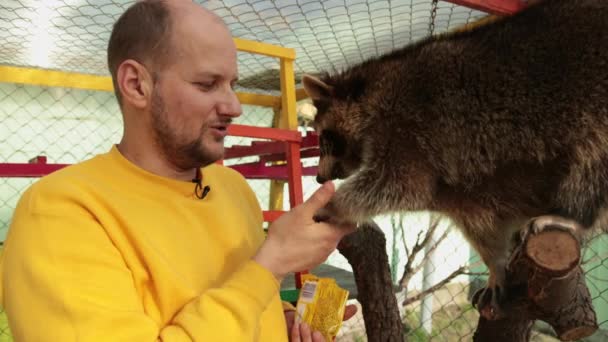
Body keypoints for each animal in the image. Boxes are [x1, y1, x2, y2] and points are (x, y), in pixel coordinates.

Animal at [302, 0, 608, 318]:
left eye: (323, 138)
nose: (319, 178)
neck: (376, 92)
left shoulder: (407, 134)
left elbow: (400, 184)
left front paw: (335, 203)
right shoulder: (463, 193)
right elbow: (480, 223)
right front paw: (495, 263)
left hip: (595, 112)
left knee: (591, 159)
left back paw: (574, 216)